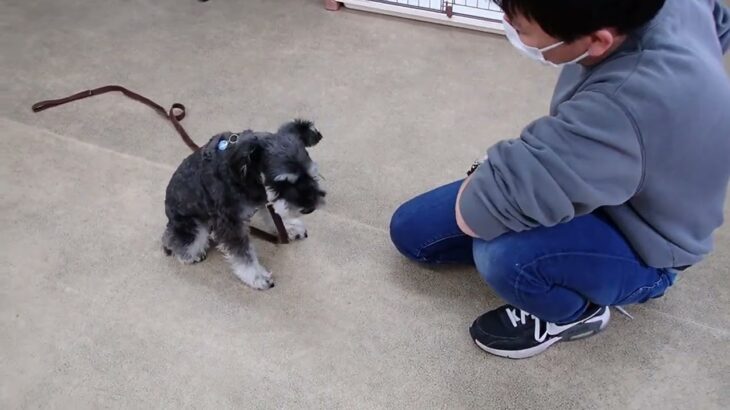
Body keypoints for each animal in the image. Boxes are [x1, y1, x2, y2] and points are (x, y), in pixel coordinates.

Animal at [165, 120, 328, 290]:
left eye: (312, 174)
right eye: (281, 182)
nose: (309, 208)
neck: (245, 171)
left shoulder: (263, 197)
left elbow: (274, 216)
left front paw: (289, 227)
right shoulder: (229, 222)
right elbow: (243, 254)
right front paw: (257, 276)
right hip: (192, 225)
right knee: (176, 239)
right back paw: (188, 254)